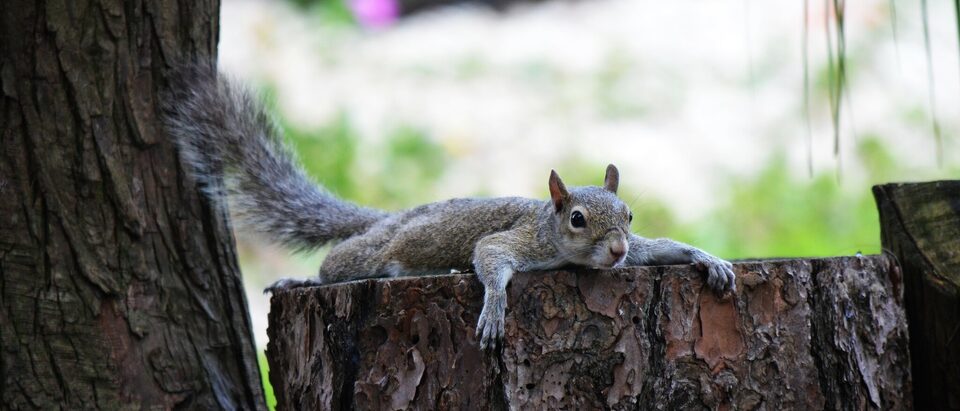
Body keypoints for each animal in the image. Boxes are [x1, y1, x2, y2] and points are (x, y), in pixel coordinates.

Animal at [163, 67, 736, 349]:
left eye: (629, 217)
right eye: (577, 220)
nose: (616, 252)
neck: (554, 239)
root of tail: (390, 217)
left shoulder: (636, 251)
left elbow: (661, 249)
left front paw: (708, 259)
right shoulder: (517, 240)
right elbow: (490, 258)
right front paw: (494, 309)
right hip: (369, 254)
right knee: (337, 265)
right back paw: (300, 279)